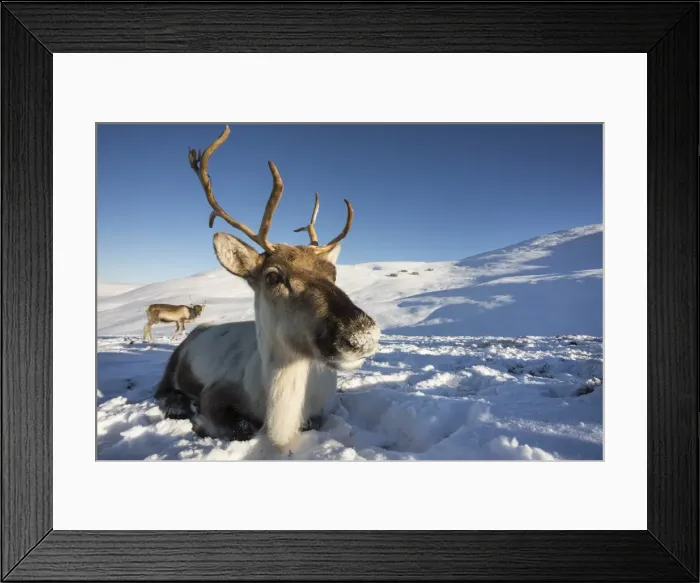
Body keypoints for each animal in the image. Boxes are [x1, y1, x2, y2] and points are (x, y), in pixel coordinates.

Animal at [153, 125, 381, 452]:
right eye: (273, 277)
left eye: (333, 273)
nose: (363, 335)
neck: (279, 414)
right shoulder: (216, 391)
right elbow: (242, 427)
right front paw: (200, 423)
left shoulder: (323, 408)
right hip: (174, 361)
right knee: (162, 391)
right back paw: (179, 405)